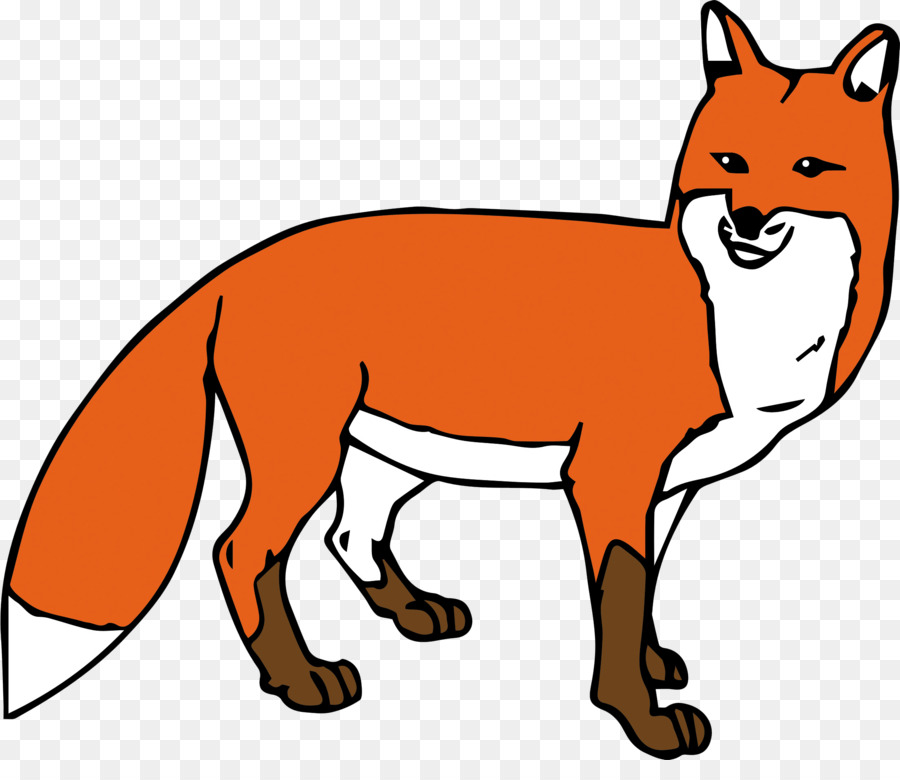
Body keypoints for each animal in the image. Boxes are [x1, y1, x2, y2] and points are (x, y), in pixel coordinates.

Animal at [2, 2, 896, 759]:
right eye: (730, 162)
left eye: (809, 168)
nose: (745, 220)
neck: (740, 322)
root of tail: (240, 264)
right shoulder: (610, 475)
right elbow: (617, 598)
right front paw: (637, 717)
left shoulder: (671, 487)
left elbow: (644, 592)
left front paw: (653, 663)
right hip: (306, 455)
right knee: (242, 551)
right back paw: (300, 680)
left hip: (389, 457)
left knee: (348, 534)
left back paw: (411, 611)